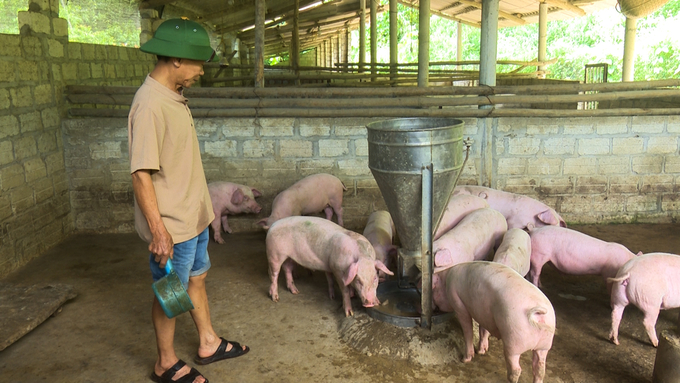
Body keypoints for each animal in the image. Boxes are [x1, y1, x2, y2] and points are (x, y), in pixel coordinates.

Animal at [266, 216, 394, 318]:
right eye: (358, 280)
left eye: (375, 278)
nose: (369, 302)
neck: (361, 256)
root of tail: (273, 225)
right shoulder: (337, 270)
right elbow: (344, 290)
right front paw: (349, 313)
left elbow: (331, 280)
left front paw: (377, 303)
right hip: (274, 254)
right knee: (274, 275)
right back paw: (275, 298)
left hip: (289, 257)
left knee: (287, 269)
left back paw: (295, 292)